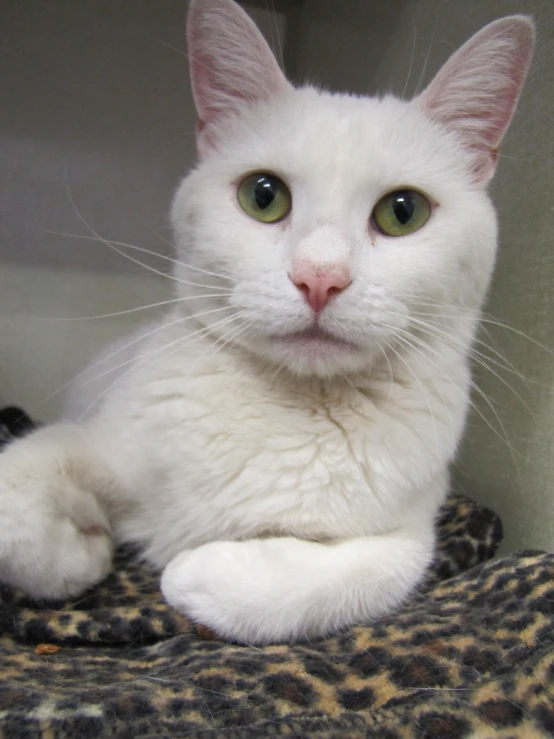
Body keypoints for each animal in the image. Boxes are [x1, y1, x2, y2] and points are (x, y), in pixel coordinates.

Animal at [0, 0, 532, 644]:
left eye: (403, 212)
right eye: (263, 196)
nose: (320, 278)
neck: (290, 410)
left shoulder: (413, 529)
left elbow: (358, 578)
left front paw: (191, 569)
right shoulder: (90, 440)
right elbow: (16, 501)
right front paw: (84, 553)